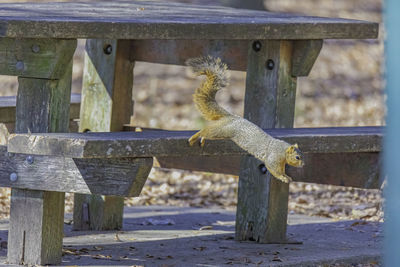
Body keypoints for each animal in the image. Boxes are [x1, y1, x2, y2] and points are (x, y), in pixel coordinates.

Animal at [186, 55, 304, 183]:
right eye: (297, 157)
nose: (303, 164)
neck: (282, 150)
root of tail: (232, 117)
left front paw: (286, 176)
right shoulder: (274, 158)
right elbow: (273, 169)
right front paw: (283, 177)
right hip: (224, 130)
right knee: (207, 131)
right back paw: (195, 137)